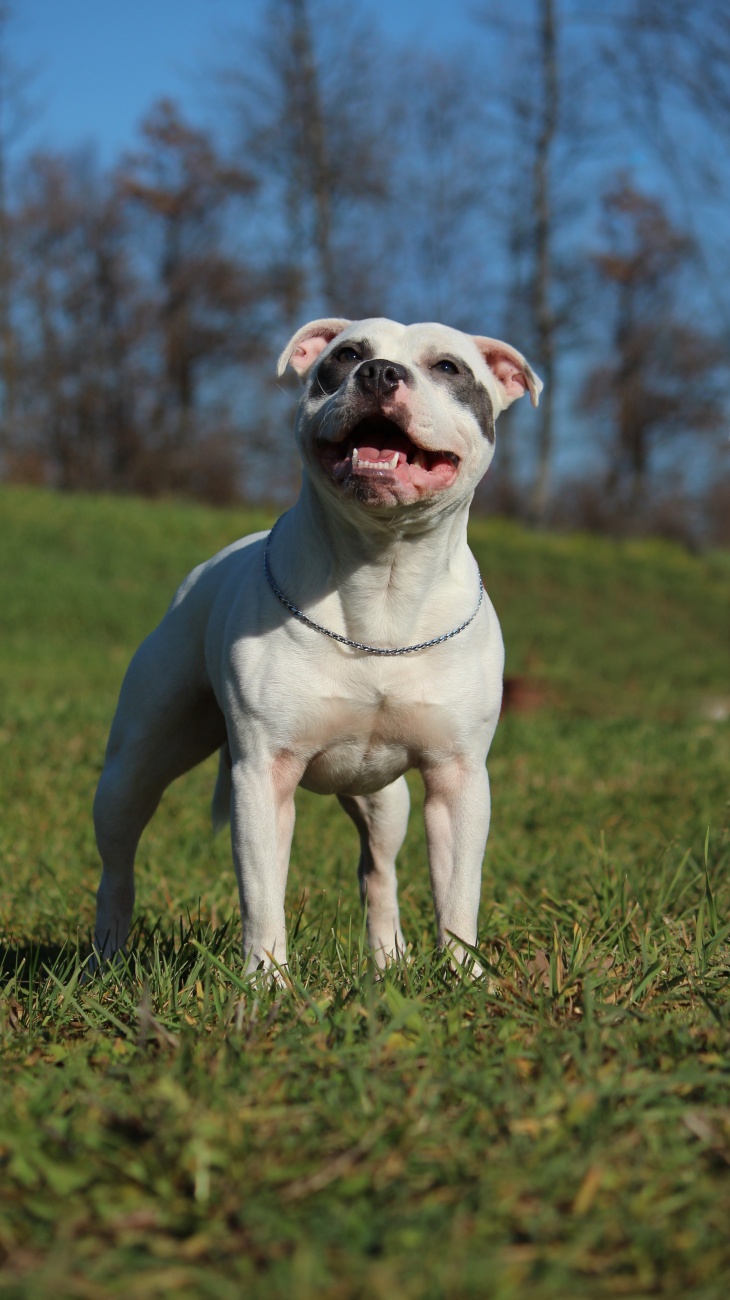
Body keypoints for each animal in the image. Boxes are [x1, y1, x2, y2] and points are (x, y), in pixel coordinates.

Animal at [90, 319, 537, 977]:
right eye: (346, 355)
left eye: (448, 367)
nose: (379, 372)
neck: (382, 580)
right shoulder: (263, 775)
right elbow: (261, 892)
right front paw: (265, 981)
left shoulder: (457, 779)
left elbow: (457, 892)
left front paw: (464, 975)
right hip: (134, 766)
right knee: (117, 862)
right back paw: (106, 956)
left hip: (384, 800)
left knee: (378, 872)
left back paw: (388, 961)